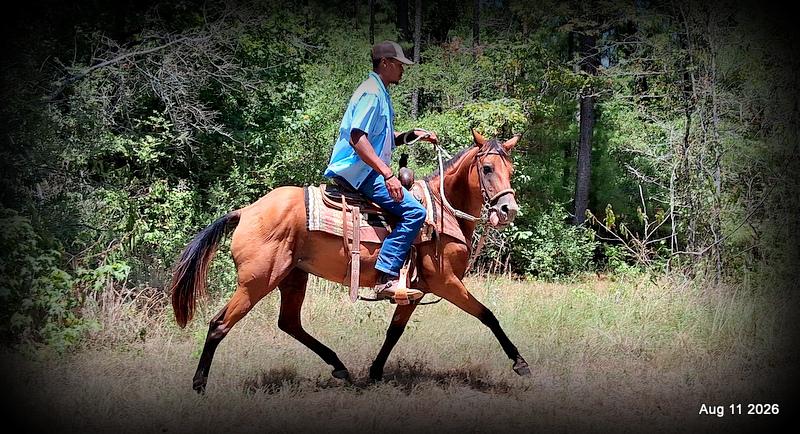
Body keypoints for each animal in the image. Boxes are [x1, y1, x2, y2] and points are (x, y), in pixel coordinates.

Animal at [170, 129, 531, 393]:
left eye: (511, 170)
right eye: (487, 169)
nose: (508, 210)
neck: (443, 210)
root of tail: (245, 211)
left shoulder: (416, 289)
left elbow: (394, 331)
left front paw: (375, 371)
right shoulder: (445, 282)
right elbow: (488, 315)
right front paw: (520, 363)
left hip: (292, 277)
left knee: (289, 323)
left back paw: (340, 367)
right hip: (256, 282)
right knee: (219, 324)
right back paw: (199, 385)